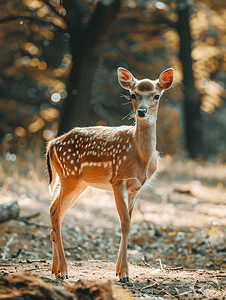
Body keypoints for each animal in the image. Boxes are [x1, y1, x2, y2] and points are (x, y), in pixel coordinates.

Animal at [45, 65, 173, 282]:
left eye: (156, 95)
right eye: (132, 94)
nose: (141, 111)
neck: (140, 157)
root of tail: (51, 144)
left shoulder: (136, 187)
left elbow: (128, 223)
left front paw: (119, 271)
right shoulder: (118, 180)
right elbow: (125, 223)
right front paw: (125, 274)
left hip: (77, 183)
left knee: (56, 212)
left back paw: (55, 269)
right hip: (70, 177)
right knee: (56, 214)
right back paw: (64, 270)